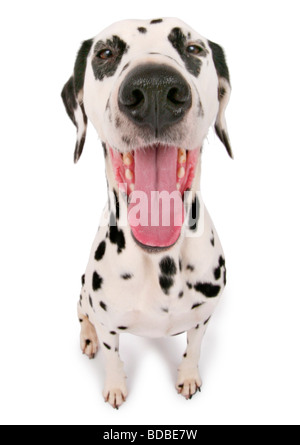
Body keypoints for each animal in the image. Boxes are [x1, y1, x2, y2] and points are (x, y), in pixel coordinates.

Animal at [60, 17, 230, 408]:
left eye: (193, 48)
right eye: (105, 52)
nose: (154, 88)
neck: (160, 261)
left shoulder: (203, 318)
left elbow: (194, 348)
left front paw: (188, 377)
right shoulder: (109, 323)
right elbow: (112, 355)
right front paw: (115, 385)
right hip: (83, 291)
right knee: (81, 312)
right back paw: (87, 337)